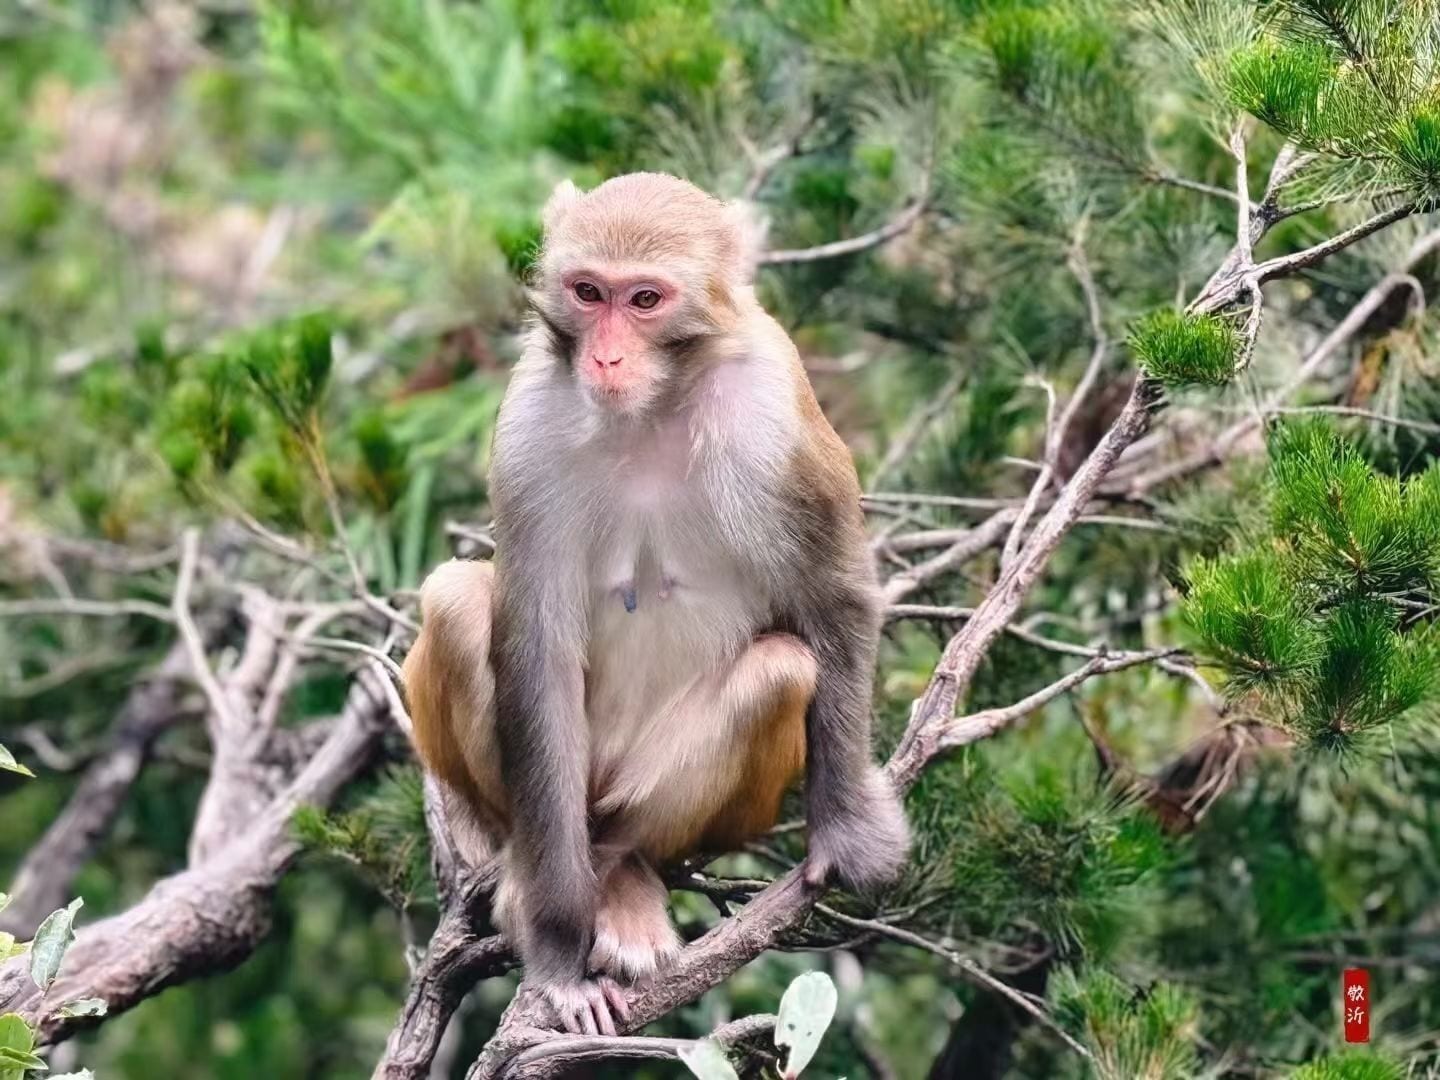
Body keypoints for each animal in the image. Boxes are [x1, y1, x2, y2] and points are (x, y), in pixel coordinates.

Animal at [401, 172, 909, 1036]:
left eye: (644, 299)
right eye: (588, 292)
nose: (606, 354)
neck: (653, 407)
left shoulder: (774, 401)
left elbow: (832, 594)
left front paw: (845, 829)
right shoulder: (531, 418)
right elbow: (535, 651)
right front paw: (558, 952)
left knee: (780, 669)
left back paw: (626, 867)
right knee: (459, 601)